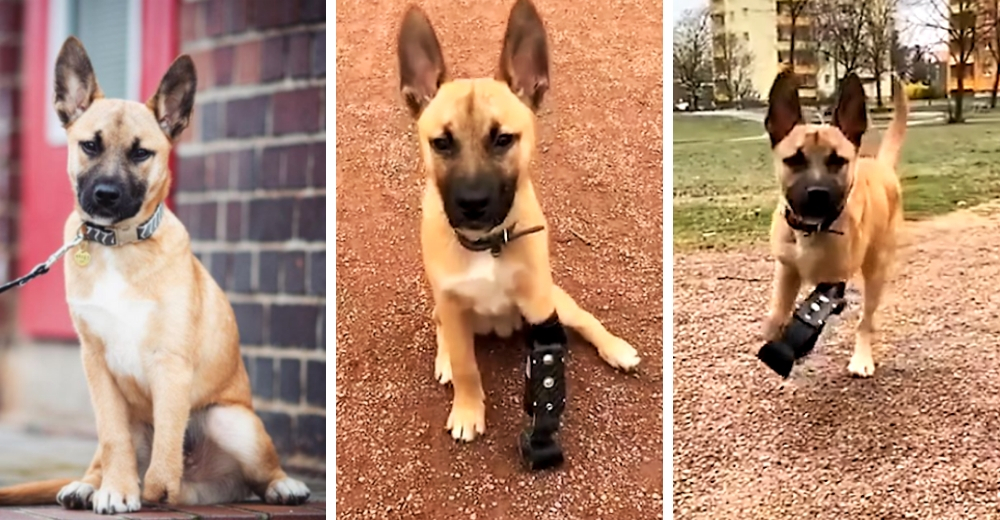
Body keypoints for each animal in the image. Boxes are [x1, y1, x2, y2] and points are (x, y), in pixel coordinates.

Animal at [396, 0, 640, 442]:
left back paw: (615, 348)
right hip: (445, 308)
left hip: (558, 301)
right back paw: (444, 359)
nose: (473, 204)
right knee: (441, 329)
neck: (488, 244)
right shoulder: (452, 305)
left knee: (586, 319)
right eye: (441, 143)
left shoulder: (540, 303)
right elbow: (467, 368)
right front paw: (467, 409)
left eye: (503, 139)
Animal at [764, 70, 908, 378]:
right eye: (794, 160)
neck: (811, 231)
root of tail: (881, 165)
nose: (817, 193)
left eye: (837, 161)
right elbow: (779, 310)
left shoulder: (833, 281)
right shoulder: (787, 268)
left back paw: (861, 359)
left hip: (877, 269)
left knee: (865, 321)